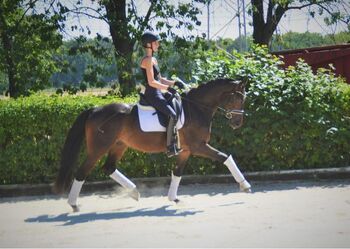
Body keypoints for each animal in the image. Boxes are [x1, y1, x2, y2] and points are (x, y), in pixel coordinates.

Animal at [53, 78, 250, 212]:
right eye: (238, 99)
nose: (238, 123)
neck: (197, 108)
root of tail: (94, 109)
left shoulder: (185, 150)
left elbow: (177, 172)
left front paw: (174, 199)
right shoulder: (198, 146)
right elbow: (226, 158)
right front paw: (245, 186)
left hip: (119, 145)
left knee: (109, 167)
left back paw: (134, 192)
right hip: (99, 148)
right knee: (82, 172)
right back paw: (74, 204)